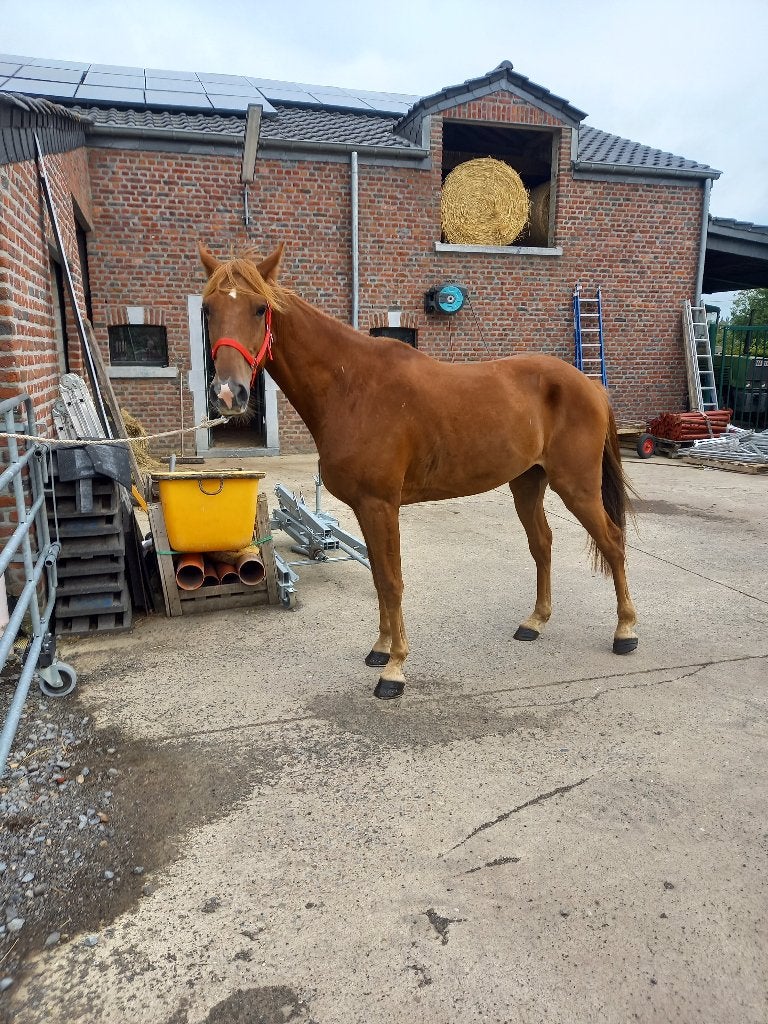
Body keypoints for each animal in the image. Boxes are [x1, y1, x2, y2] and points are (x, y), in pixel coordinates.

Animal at [199, 242, 638, 700]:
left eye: (260, 309)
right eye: (208, 310)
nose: (228, 394)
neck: (351, 387)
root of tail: (590, 386)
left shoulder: (381, 505)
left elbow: (392, 582)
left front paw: (394, 670)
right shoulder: (365, 508)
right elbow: (379, 577)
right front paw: (379, 650)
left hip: (577, 487)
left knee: (612, 542)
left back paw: (625, 632)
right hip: (527, 483)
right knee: (543, 545)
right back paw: (534, 622)